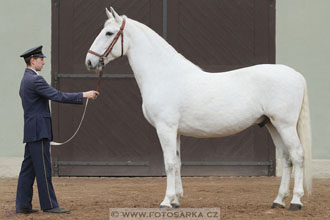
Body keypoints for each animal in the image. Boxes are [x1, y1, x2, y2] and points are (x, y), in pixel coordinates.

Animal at [85, 7, 312, 211]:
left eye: (109, 33)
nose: (89, 61)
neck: (164, 75)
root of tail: (296, 74)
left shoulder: (165, 128)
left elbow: (169, 163)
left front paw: (166, 202)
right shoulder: (175, 131)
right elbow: (177, 162)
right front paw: (176, 201)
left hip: (285, 125)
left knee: (298, 156)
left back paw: (295, 202)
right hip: (272, 125)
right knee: (287, 158)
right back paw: (278, 201)